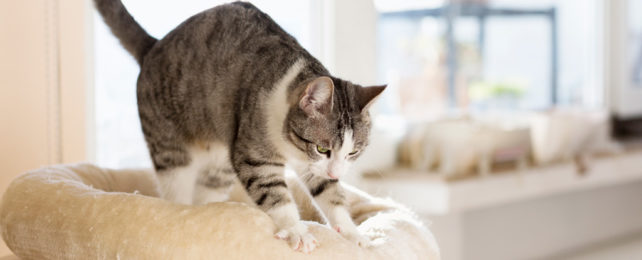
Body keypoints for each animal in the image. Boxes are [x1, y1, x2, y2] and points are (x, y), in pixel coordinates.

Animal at [94, 0, 382, 252]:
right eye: (323, 148)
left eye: (353, 152)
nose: (336, 172)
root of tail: (153, 46)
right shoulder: (254, 152)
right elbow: (274, 192)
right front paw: (296, 230)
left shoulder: (313, 166)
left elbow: (330, 193)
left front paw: (354, 234)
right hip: (169, 147)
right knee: (176, 187)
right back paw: (183, 210)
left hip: (219, 164)